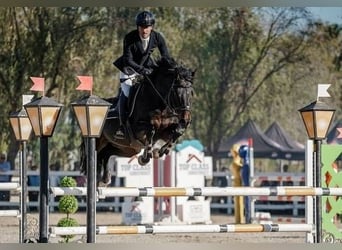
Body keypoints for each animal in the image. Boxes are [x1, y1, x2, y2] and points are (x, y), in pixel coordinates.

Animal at [79, 57, 195, 186]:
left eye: (191, 92)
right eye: (176, 93)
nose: (186, 119)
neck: (157, 103)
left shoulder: (164, 131)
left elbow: (177, 132)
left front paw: (161, 151)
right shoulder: (139, 129)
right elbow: (151, 130)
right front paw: (145, 157)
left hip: (127, 148)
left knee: (106, 153)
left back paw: (105, 179)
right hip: (99, 141)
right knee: (95, 156)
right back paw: (98, 179)